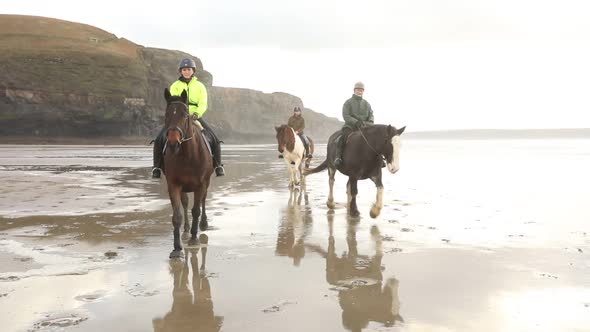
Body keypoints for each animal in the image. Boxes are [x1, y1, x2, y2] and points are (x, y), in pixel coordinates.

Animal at [163, 88, 214, 260]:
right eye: (166, 115)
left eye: (184, 115)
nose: (173, 142)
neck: (187, 155)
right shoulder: (173, 184)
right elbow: (177, 215)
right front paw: (177, 248)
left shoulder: (201, 184)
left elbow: (196, 210)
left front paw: (193, 239)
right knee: (185, 203)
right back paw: (185, 229)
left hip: (206, 183)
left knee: (203, 201)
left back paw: (203, 224)